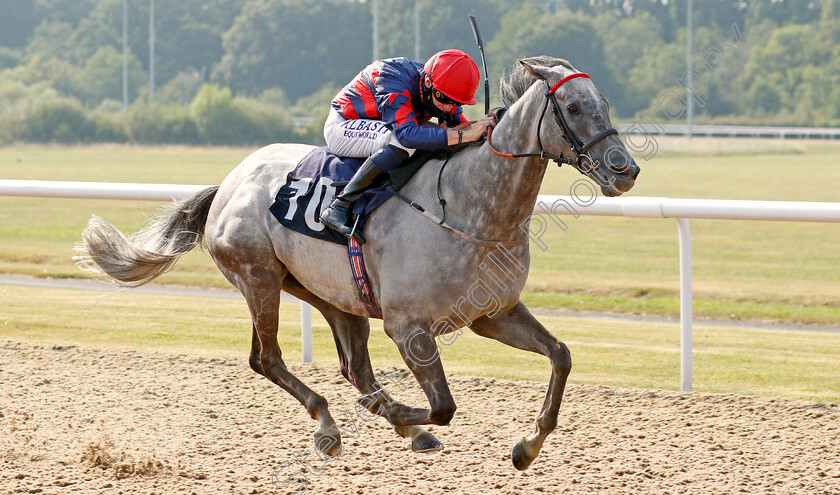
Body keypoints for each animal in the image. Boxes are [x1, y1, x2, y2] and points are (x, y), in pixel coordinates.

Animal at [75, 56, 640, 470]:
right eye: (572, 106)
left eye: (606, 103)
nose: (625, 170)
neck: (467, 208)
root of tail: (230, 182)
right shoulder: (409, 326)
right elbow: (444, 405)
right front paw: (401, 412)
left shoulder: (492, 314)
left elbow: (561, 355)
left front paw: (528, 446)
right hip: (258, 277)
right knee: (268, 359)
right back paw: (332, 425)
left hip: (331, 294)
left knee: (353, 367)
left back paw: (400, 428)